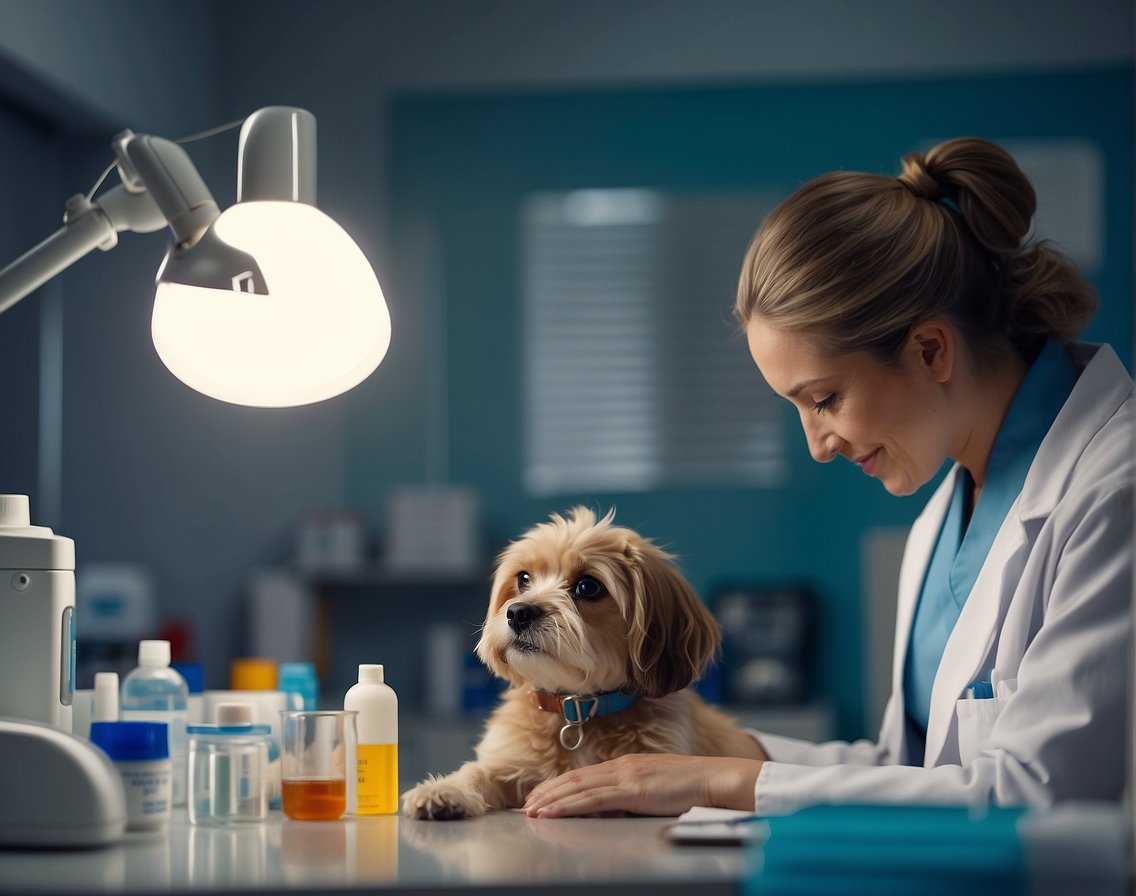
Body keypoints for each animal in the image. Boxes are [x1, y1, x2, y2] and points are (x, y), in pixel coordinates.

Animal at [399, 504, 763, 817]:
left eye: (588, 587)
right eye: (523, 578)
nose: (518, 612)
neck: (578, 710)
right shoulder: (510, 761)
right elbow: (476, 772)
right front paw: (445, 791)